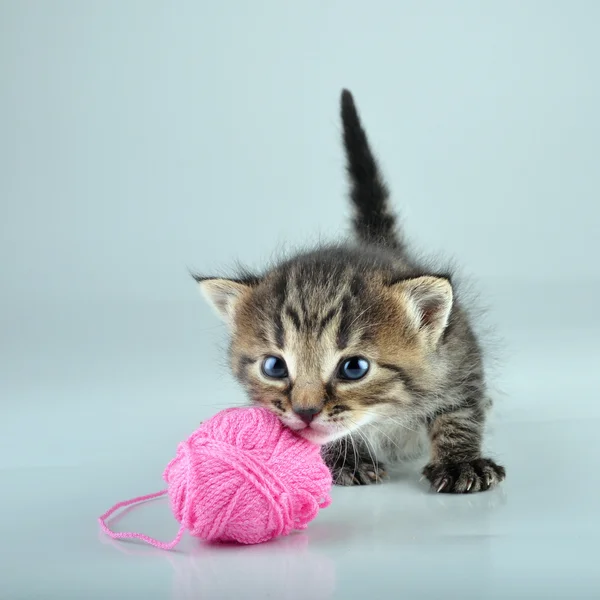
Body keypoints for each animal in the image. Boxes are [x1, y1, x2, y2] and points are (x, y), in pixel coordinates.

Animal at [196, 89, 506, 492]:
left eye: (354, 368)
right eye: (274, 366)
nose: (305, 411)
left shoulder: (460, 361)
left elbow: (459, 413)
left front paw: (459, 462)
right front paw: (348, 458)